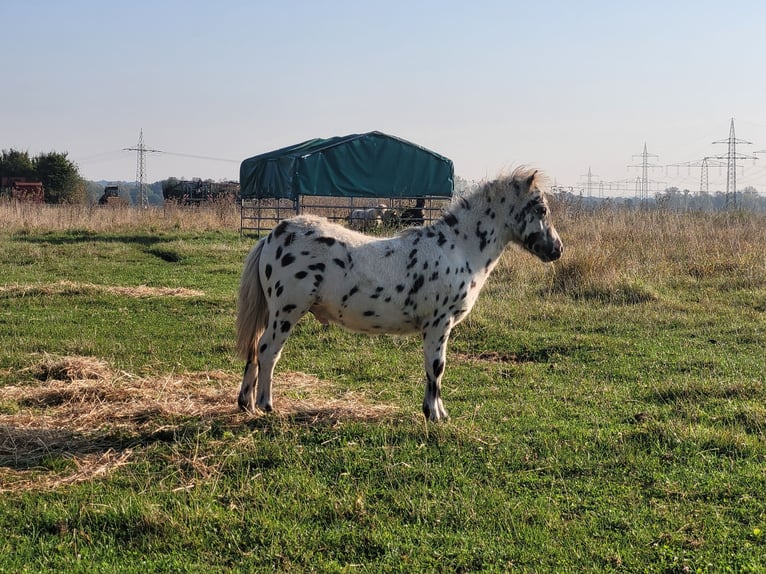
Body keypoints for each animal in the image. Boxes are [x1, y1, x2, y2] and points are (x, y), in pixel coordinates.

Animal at [237, 166, 568, 424]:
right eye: (541, 209)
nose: (557, 249)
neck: (458, 249)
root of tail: (272, 236)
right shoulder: (439, 323)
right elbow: (436, 367)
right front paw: (436, 415)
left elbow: (433, 369)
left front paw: (435, 412)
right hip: (286, 311)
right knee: (267, 351)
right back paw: (266, 405)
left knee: (254, 349)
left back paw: (246, 404)